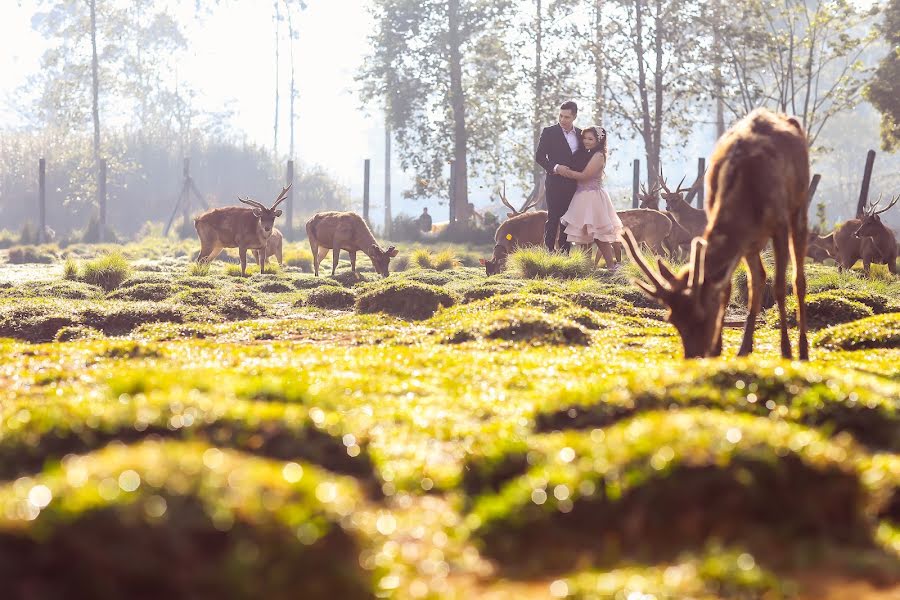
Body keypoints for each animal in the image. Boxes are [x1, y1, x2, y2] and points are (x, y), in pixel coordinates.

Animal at [624, 107, 812, 358]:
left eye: (700, 315)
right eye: (671, 317)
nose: (694, 354)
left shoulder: (777, 223)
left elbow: (780, 286)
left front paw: (786, 351)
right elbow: (727, 286)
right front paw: (718, 347)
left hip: (798, 209)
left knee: (798, 279)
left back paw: (801, 349)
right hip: (752, 241)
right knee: (758, 278)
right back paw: (745, 347)